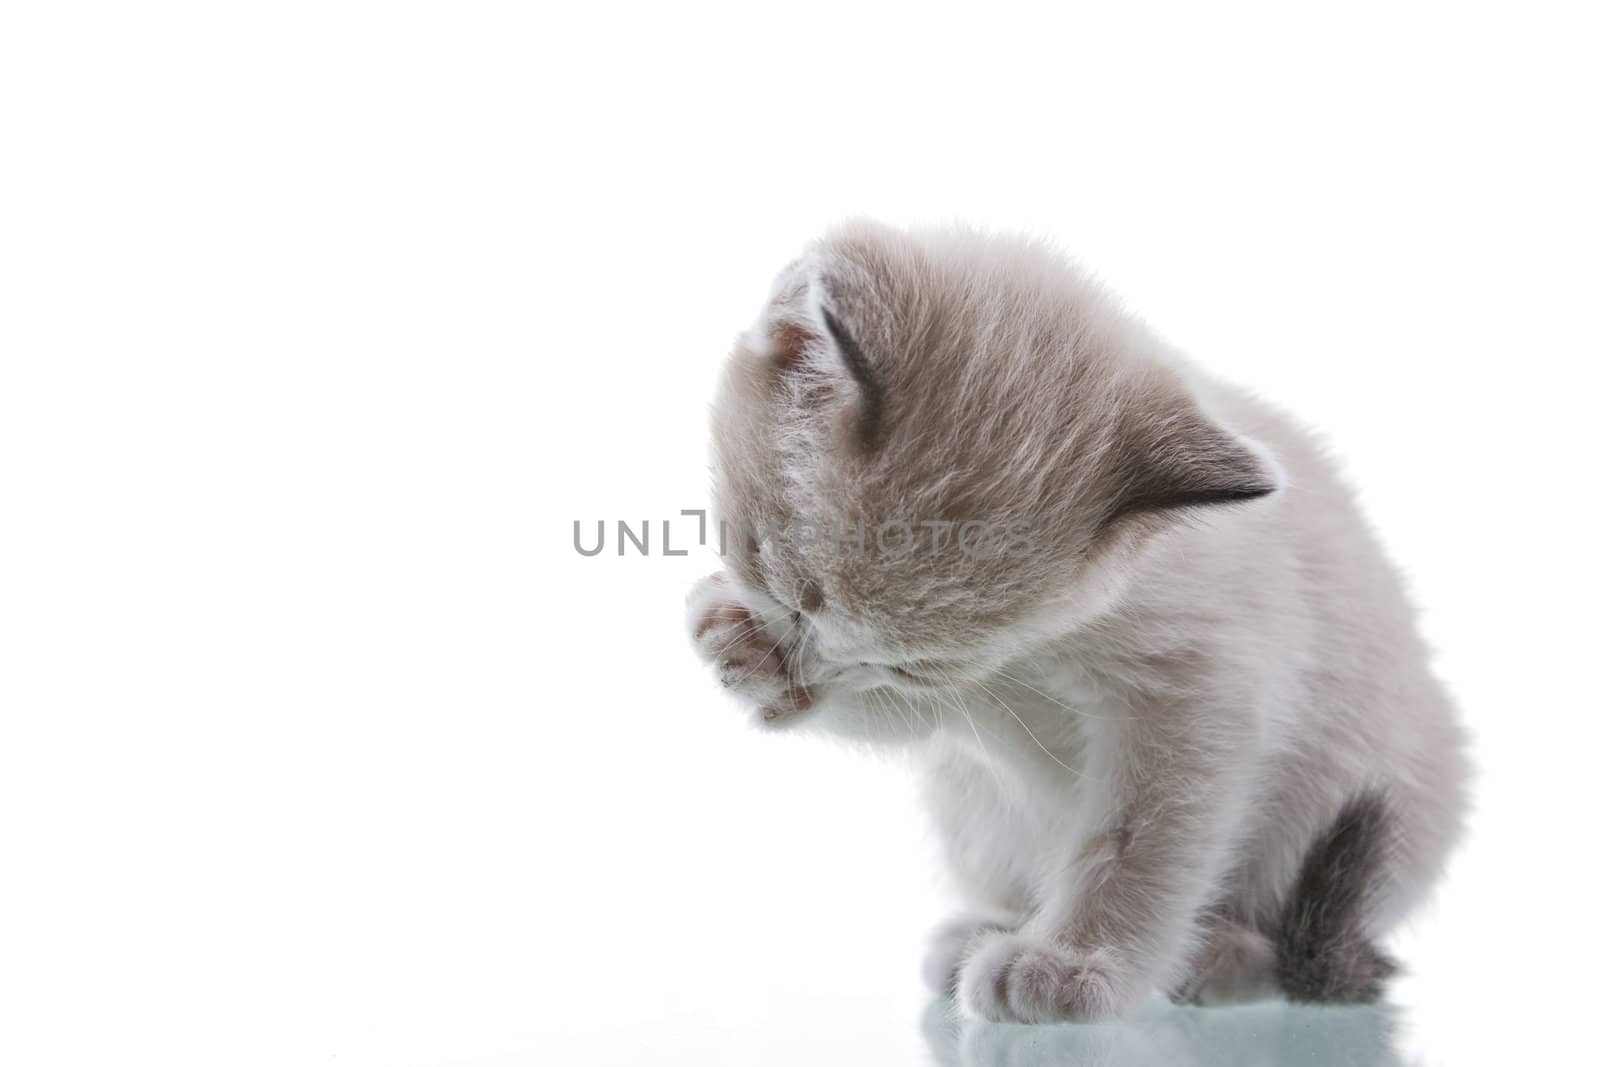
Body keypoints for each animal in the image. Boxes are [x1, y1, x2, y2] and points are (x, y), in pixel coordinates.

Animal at [681, 219, 1465, 1023]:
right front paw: (740, 645)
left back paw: (1222, 958)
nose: (808, 662)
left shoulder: (1195, 700)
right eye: (784, 583)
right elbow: (892, 720)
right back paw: (981, 934)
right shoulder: (961, 699)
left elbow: (1135, 848)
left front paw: (1072, 964)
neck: (1046, 648)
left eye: (910, 662)